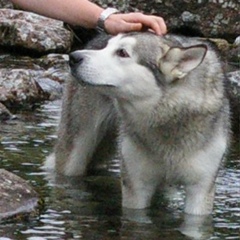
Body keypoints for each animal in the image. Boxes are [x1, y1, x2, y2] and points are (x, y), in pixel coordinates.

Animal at [45, 32, 231, 216]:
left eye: (122, 52)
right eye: (107, 47)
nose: (74, 57)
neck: (167, 121)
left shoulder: (200, 189)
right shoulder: (136, 185)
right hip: (74, 156)